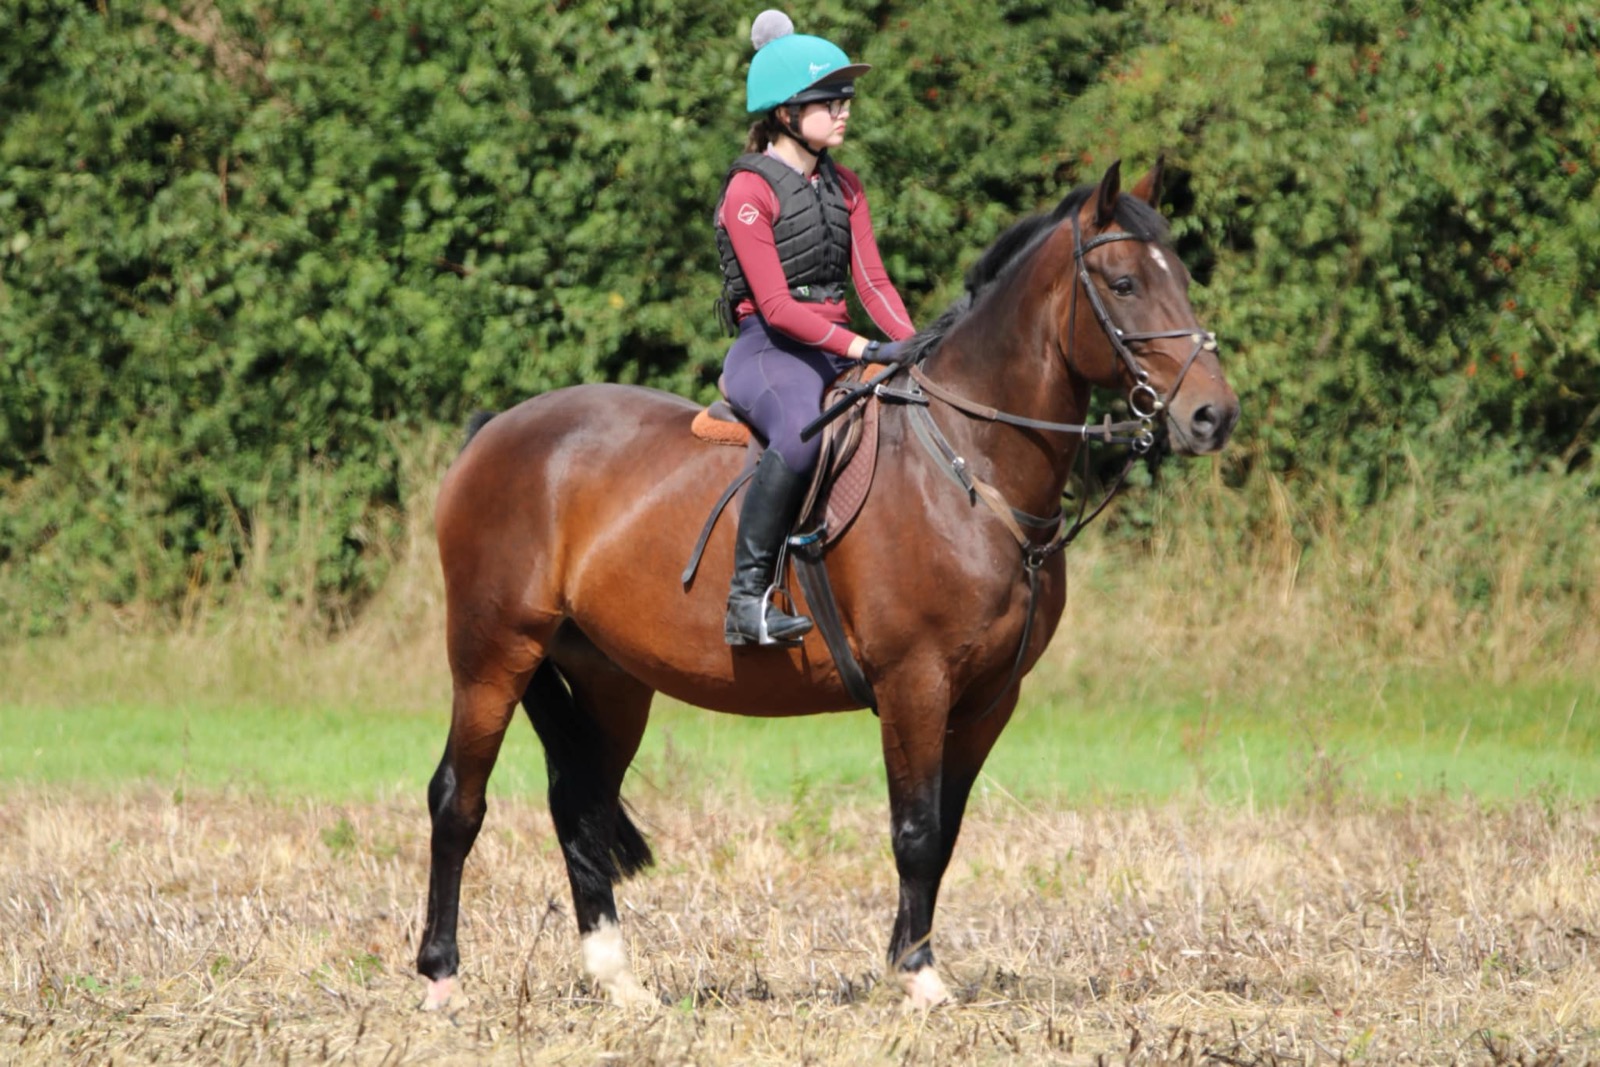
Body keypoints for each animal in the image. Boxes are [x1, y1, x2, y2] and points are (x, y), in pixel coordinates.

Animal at [415, 159, 1240, 1011]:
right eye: (1124, 283)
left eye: (1180, 277)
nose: (1213, 416)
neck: (968, 464)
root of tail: (494, 431)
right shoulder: (916, 681)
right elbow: (915, 829)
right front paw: (919, 976)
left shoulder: (988, 699)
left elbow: (943, 830)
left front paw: (909, 959)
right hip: (492, 654)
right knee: (457, 799)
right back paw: (442, 973)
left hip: (610, 679)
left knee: (582, 804)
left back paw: (619, 979)